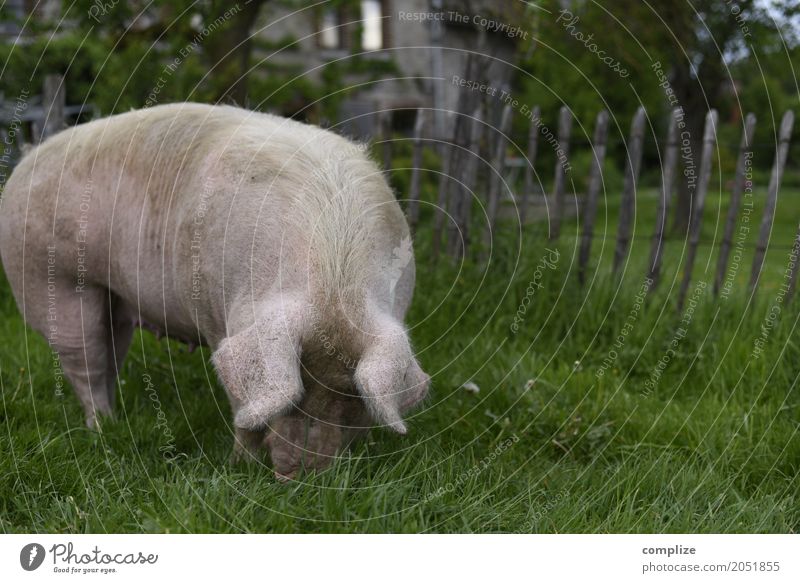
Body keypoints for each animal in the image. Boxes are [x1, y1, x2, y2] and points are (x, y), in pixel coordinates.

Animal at [1, 102, 432, 480]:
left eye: (350, 399)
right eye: (294, 397)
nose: (299, 477)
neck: (333, 273)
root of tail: (25, 163)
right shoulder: (215, 315)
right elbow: (243, 407)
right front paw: (238, 465)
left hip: (115, 300)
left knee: (110, 356)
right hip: (49, 281)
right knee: (83, 363)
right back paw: (103, 428)